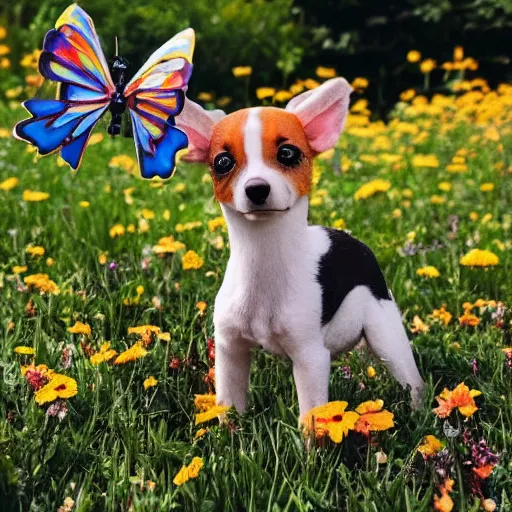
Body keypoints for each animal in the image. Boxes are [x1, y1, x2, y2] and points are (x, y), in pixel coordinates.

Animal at [176, 77, 424, 420]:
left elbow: (312, 413)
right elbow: (228, 401)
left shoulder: (311, 356)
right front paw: (227, 429)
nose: (256, 188)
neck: (263, 253)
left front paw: (311, 437)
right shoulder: (229, 347)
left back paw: (421, 412)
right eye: (222, 162)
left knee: (410, 377)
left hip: (384, 330)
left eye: (288, 153)